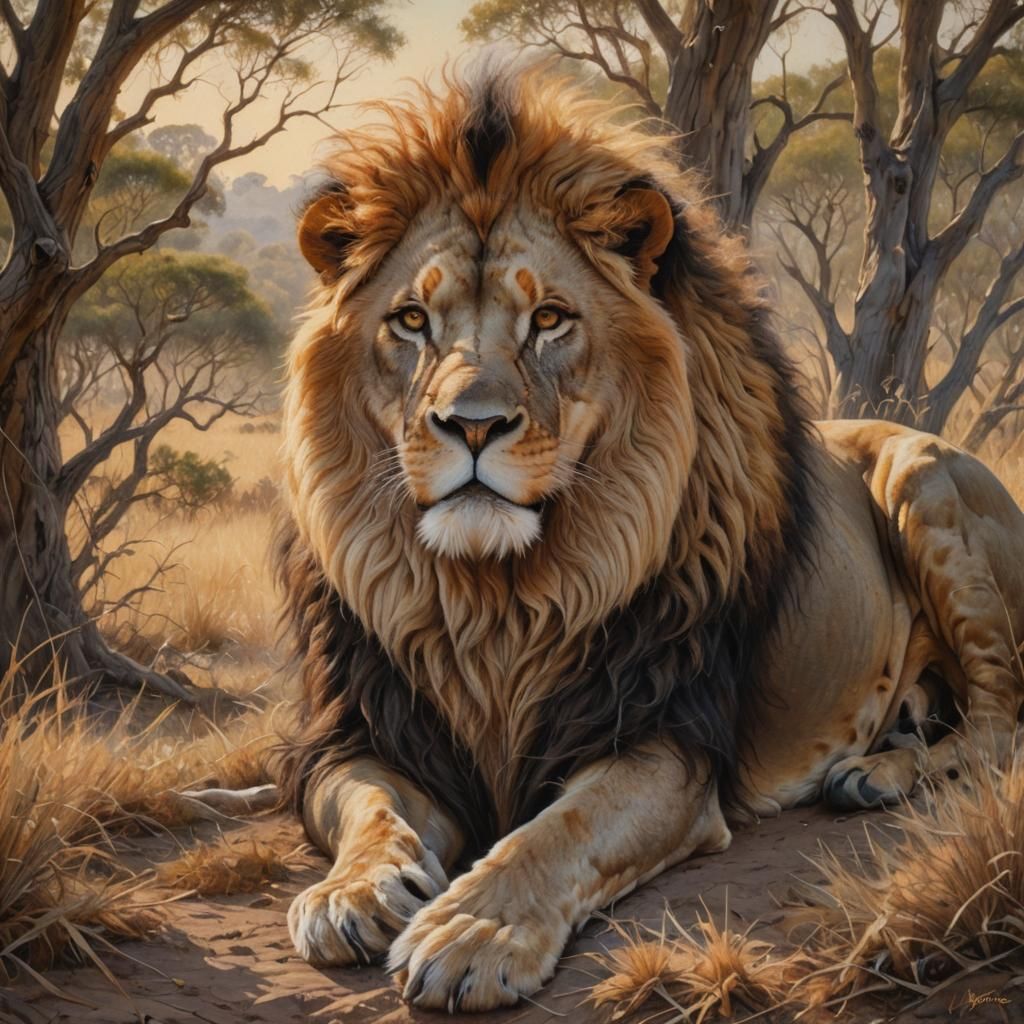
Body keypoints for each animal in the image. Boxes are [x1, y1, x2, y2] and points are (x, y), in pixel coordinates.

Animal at [271, 66, 1024, 1012]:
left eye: (550, 319)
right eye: (411, 321)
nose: (471, 424)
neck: (495, 598)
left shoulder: (666, 739)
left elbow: (558, 832)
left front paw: (473, 932)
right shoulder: (361, 728)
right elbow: (369, 809)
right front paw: (352, 891)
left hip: (920, 477)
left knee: (1002, 723)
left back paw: (874, 776)